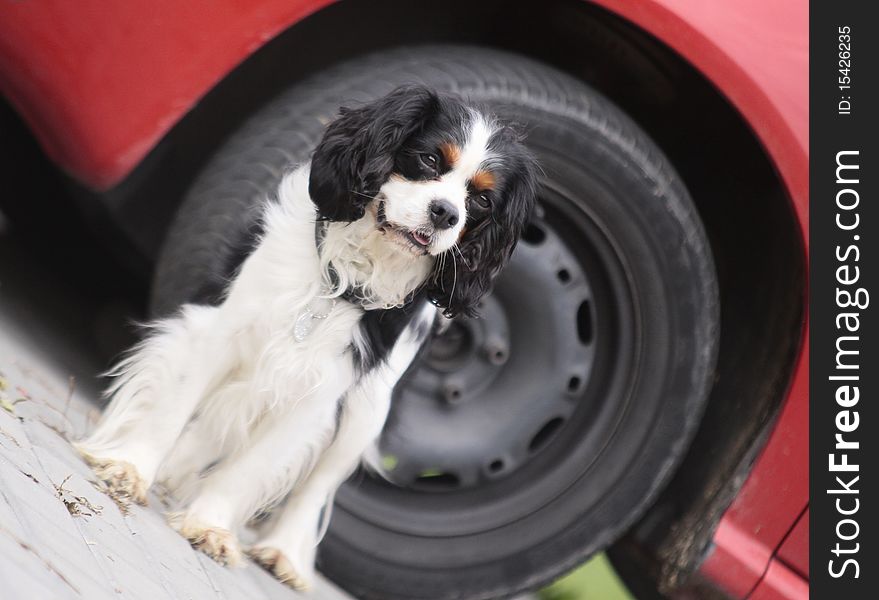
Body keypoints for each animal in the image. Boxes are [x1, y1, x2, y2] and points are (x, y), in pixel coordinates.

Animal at [75, 85, 540, 592]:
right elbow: (170, 411)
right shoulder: (221, 330)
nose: (446, 214)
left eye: (482, 202)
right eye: (429, 159)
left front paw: (212, 525)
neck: (345, 278)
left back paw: (283, 552)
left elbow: (253, 467)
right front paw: (131, 467)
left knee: (315, 485)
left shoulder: (321, 392)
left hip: (366, 414)